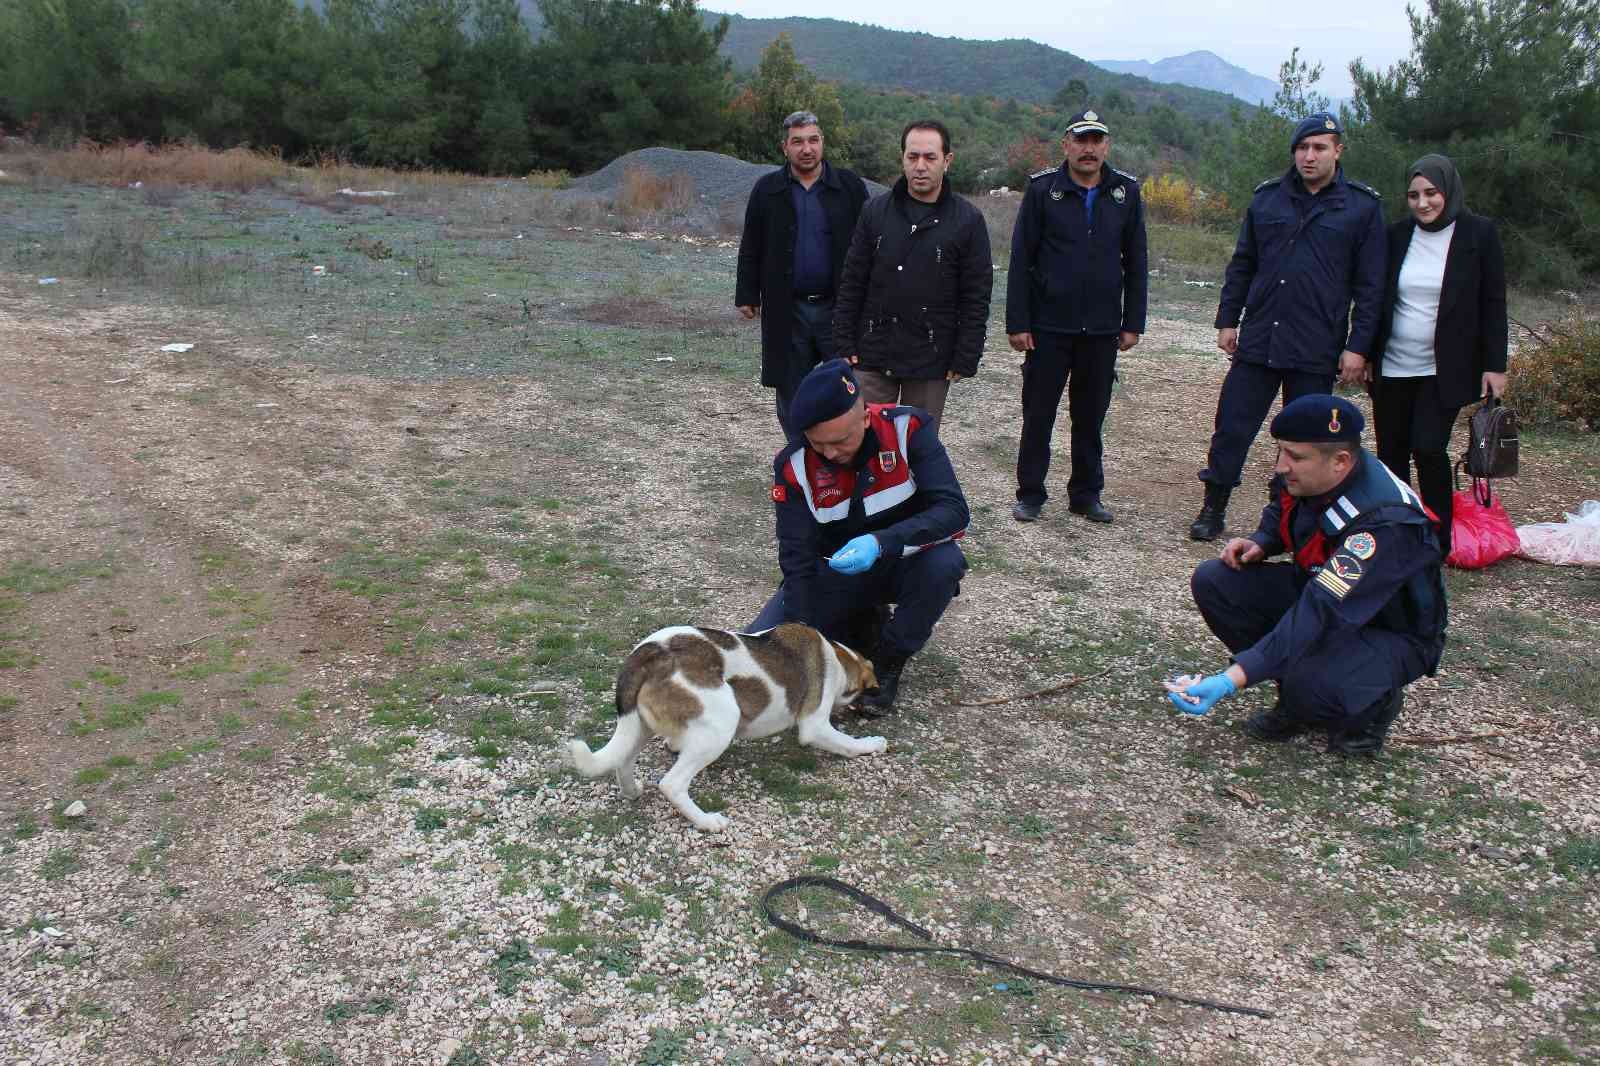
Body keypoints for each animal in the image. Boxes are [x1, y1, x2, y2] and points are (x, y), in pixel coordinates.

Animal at [566, 624, 889, 832]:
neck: (837, 658)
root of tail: (649, 653)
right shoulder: (815, 726)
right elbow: (848, 742)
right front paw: (872, 743)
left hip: (639, 725)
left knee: (622, 761)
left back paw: (632, 791)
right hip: (722, 723)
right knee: (672, 784)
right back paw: (707, 822)